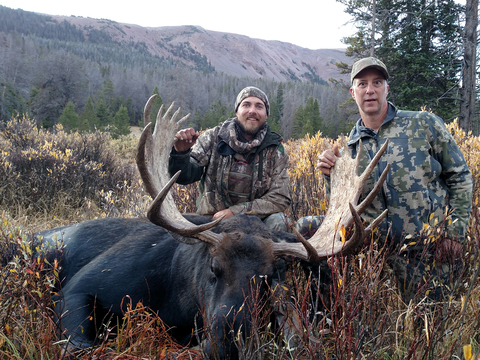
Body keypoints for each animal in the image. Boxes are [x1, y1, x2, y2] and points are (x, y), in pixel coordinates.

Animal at [37, 94, 390, 358]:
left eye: (267, 279)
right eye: (213, 268)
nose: (227, 340)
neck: (177, 301)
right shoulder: (82, 286)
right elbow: (79, 347)